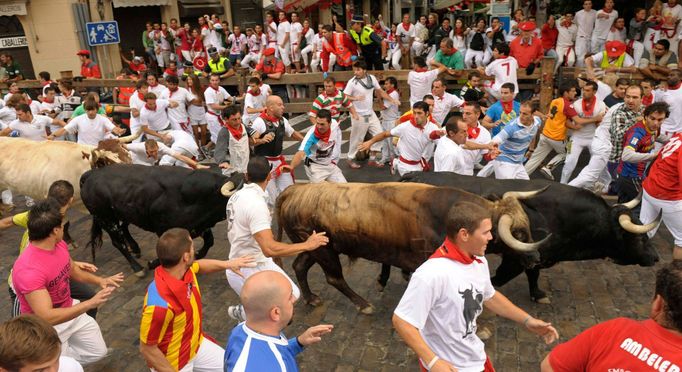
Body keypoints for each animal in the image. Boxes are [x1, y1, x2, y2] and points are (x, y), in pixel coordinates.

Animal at [80, 164, 242, 274]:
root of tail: (91, 174)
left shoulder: (199, 227)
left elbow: (209, 242)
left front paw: (195, 255)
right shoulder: (163, 229)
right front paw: (152, 263)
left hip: (123, 213)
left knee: (124, 228)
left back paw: (135, 248)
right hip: (106, 219)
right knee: (118, 243)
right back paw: (137, 267)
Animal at [274, 182, 544, 314]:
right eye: (519, 233)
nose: (536, 258)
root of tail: (294, 190)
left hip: (315, 247)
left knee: (299, 265)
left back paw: (311, 298)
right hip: (325, 251)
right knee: (334, 278)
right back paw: (363, 305)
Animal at [394, 173, 660, 304]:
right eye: (638, 238)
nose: (656, 258)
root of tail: (410, 177)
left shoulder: (535, 255)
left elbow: (534, 274)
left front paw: (538, 294)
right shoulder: (516, 257)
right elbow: (500, 278)